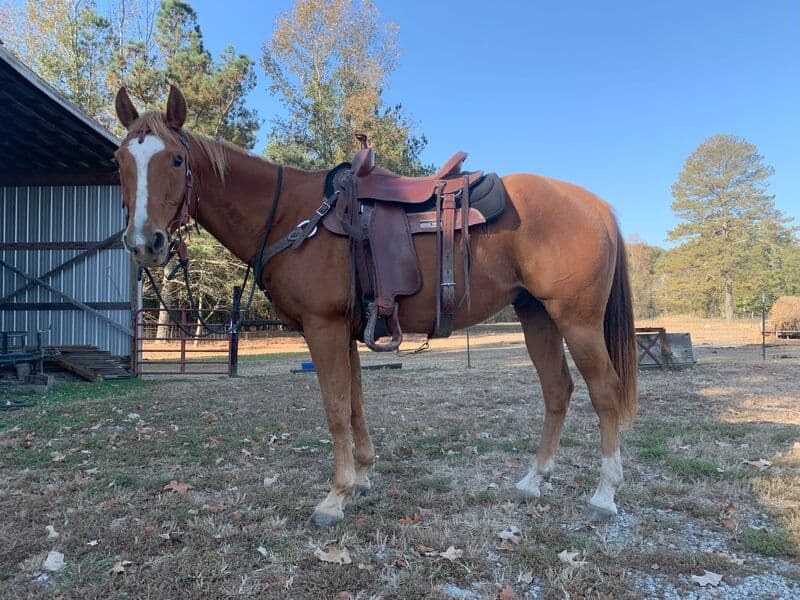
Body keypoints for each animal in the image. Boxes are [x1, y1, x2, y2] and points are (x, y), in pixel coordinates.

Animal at [113, 85, 638, 527]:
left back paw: (604, 494)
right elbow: (355, 403)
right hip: (537, 316)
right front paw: (362, 476)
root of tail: (598, 206)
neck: (290, 215)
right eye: (120, 160)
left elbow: (334, 408)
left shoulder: (322, 328)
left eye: (176, 160)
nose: (144, 244)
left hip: (577, 320)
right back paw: (533, 480)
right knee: (557, 390)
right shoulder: (344, 331)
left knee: (605, 391)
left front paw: (335, 496)